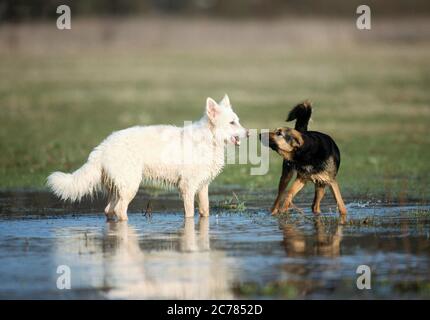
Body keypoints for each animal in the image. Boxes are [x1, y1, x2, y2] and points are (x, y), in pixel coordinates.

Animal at [47, 95, 247, 220]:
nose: (248, 133)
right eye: (232, 122)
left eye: (238, 120)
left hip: (119, 188)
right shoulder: (187, 187)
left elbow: (205, 211)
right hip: (131, 185)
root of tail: (103, 147)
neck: (209, 137)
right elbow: (190, 214)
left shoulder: (202, 186)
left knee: (108, 210)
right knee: (120, 210)